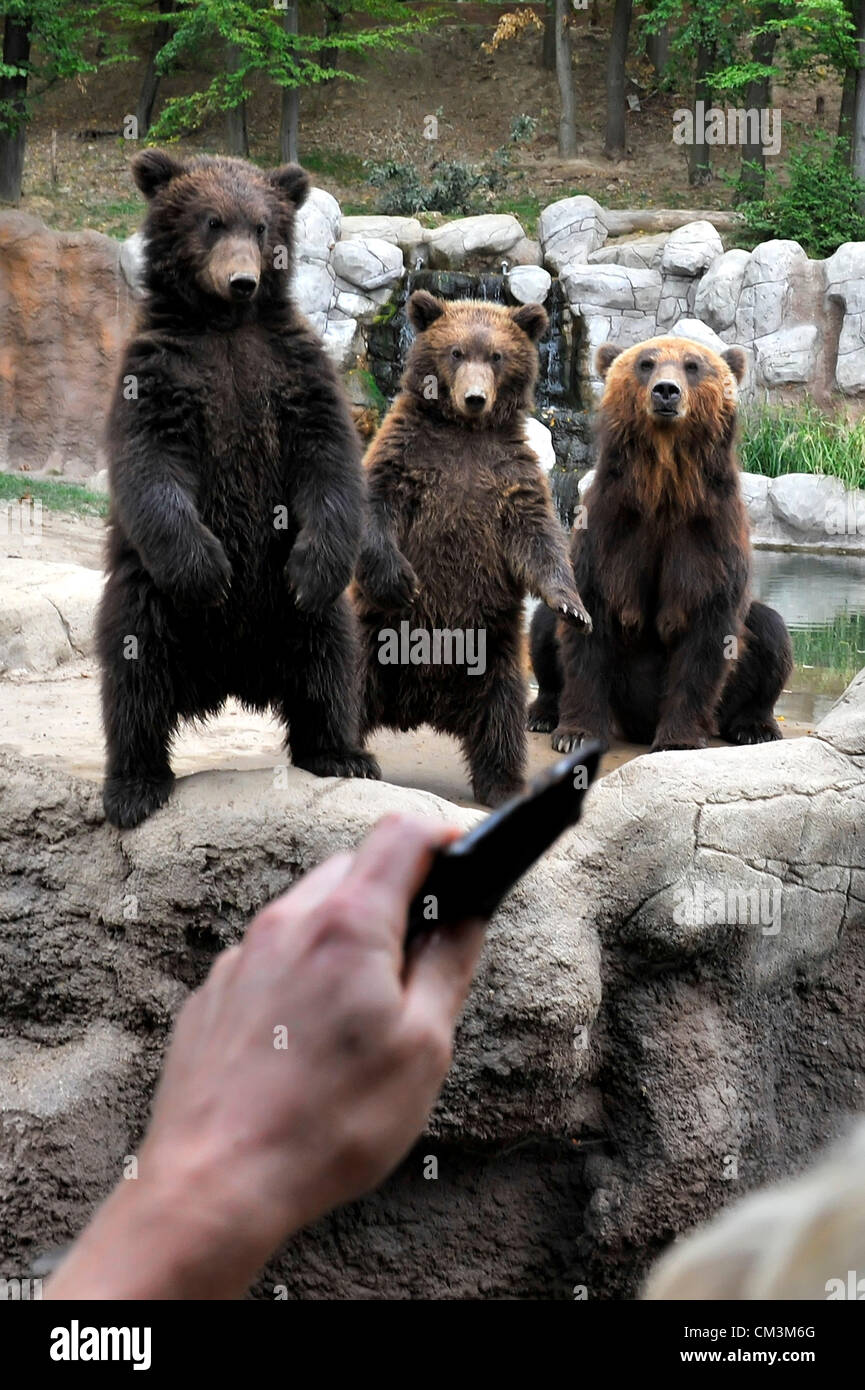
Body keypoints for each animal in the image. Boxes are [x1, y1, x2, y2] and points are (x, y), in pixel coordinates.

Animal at [96, 152, 378, 822]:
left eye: (260, 226)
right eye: (211, 221)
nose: (243, 280)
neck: (225, 324)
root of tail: (229, 679)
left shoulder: (295, 369)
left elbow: (329, 459)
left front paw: (311, 568)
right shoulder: (158, 371)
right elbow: (151, 464)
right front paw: (211, 572)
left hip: (292, 611)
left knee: (330, 655)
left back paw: (341, 751)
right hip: (148, 589)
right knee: (134, 666)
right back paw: (134, 785)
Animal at [356, 290, 592, 806]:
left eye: (497, 356)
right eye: (456, 351)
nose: (475, 397)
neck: (464, 431)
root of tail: (422, 707)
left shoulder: (510, 473)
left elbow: (537, 538)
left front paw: (573, 607)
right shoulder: (405, 453)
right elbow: (375, 507)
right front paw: (402, 579)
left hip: (494, 651)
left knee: (501, 719)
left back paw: (503, 783)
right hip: (373, 636)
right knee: (346, 687)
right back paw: (348, 755)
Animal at [528, 332, 795, 756]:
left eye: (692, 365)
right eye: (646, 363)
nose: (666, 391)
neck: (664, 483)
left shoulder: (707, 531)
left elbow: (706, 630)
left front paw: (679, 740)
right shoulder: (613, 526)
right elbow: (589, 624)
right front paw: (577, 733)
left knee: (771, 631)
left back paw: (755, 726)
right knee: (543, 625)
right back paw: (543, 712)